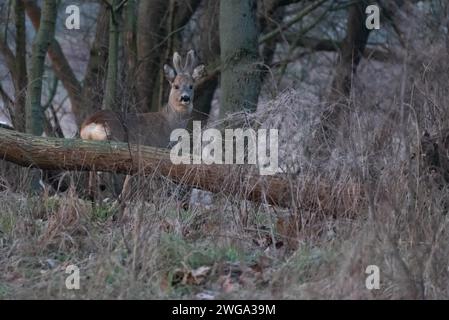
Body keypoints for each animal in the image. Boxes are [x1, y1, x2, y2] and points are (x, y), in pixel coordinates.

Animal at [79, 50, 206, 200]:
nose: (185, 98)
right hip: (115, 144)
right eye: (176, 86)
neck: (168, 124)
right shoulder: (155, 152)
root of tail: (92, 124)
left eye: (191, 86)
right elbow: (154, 188)